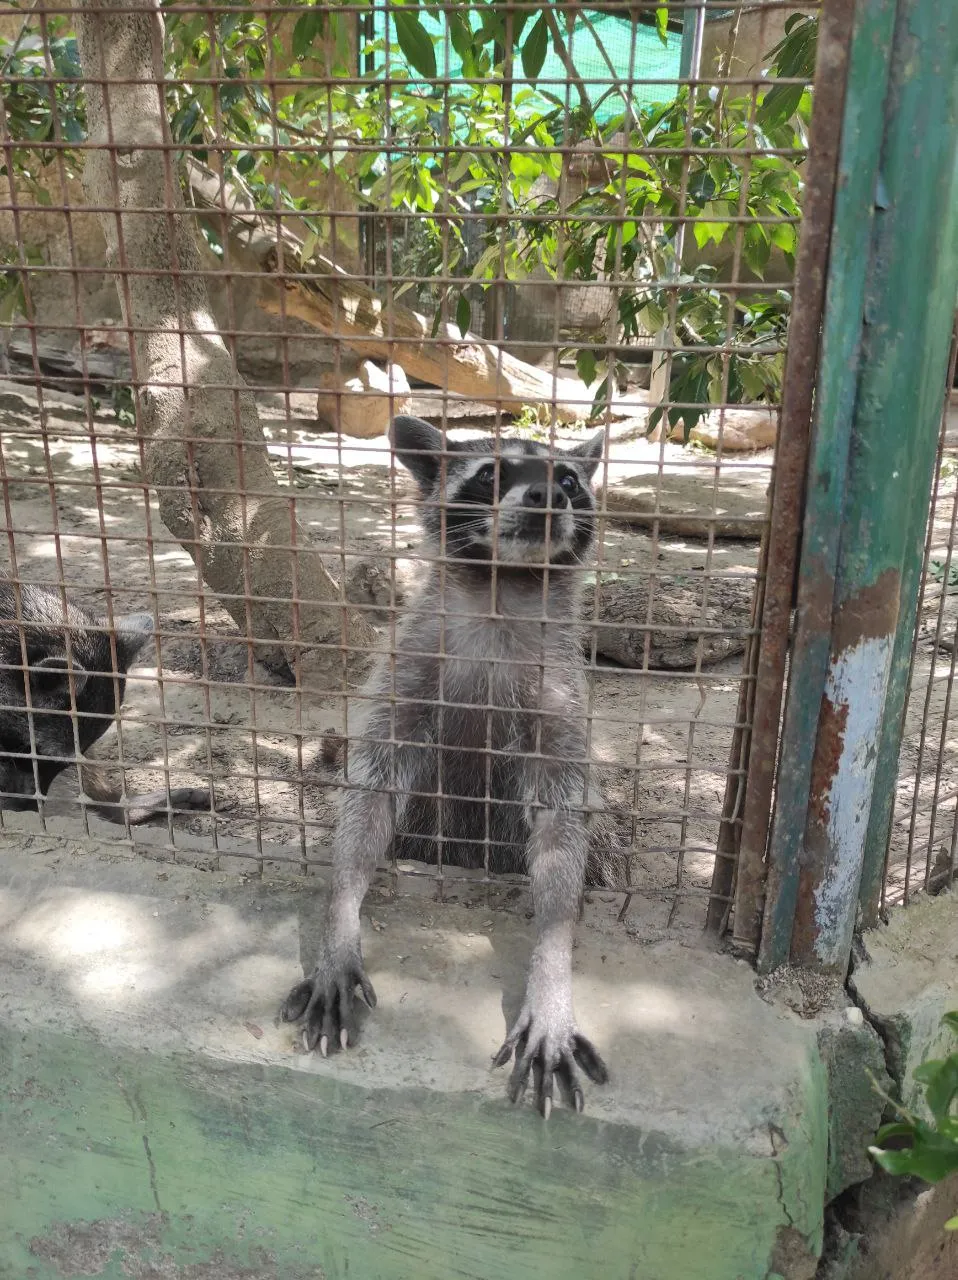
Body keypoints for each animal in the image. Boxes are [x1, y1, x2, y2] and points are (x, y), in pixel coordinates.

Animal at [280, 414, 617, 1116]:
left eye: (570, 480)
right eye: (491, 474)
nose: (548, 496)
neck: (503, 587)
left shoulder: (560, 699)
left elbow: (560, 830)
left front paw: (552, 966)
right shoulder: (408, 671)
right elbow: (371, 795)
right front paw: (339, 919)